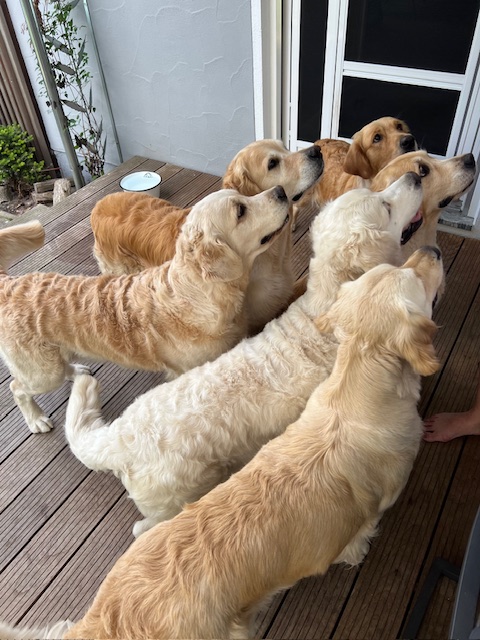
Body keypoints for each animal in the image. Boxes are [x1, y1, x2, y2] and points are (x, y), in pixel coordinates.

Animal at [0, 187, 289, 435]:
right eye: (241, 210)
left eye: (244, 196)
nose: (281, 191)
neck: (199, 291)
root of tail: (9, 282)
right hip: (42, 374)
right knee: (17, 387)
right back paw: (36, 419)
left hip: (54, 360)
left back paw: (77, 372)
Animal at [0, 246, 443, 640]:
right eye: (414, 279)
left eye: (396, 268)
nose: (433, 250)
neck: (357, 385)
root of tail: (120, 435)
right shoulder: (370, 509)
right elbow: (358, 539)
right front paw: (358, 553)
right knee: (21, 387)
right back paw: (36, 417)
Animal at [61, 172, 423, 539]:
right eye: (385, 205)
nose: (415, 174)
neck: (328, 313)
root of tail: (119, 437)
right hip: (170, 501)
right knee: (142, 528)